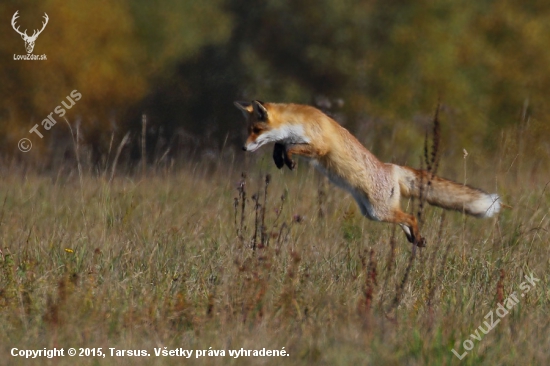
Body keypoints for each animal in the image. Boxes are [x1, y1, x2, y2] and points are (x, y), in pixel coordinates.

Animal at [235, 100, 502, 246]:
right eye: (248, 129)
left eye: (256, 130)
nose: (243, 148)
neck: (297, 123)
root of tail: (391, 168)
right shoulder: (294, 140)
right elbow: (281, 145)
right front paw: (279, 159)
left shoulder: (319, 146)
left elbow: (291, 147)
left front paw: (288, 160)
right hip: (375, 213)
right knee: (405, 220)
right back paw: (417, 240)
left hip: (378, 211)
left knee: (411, 217)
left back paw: (417, 237)